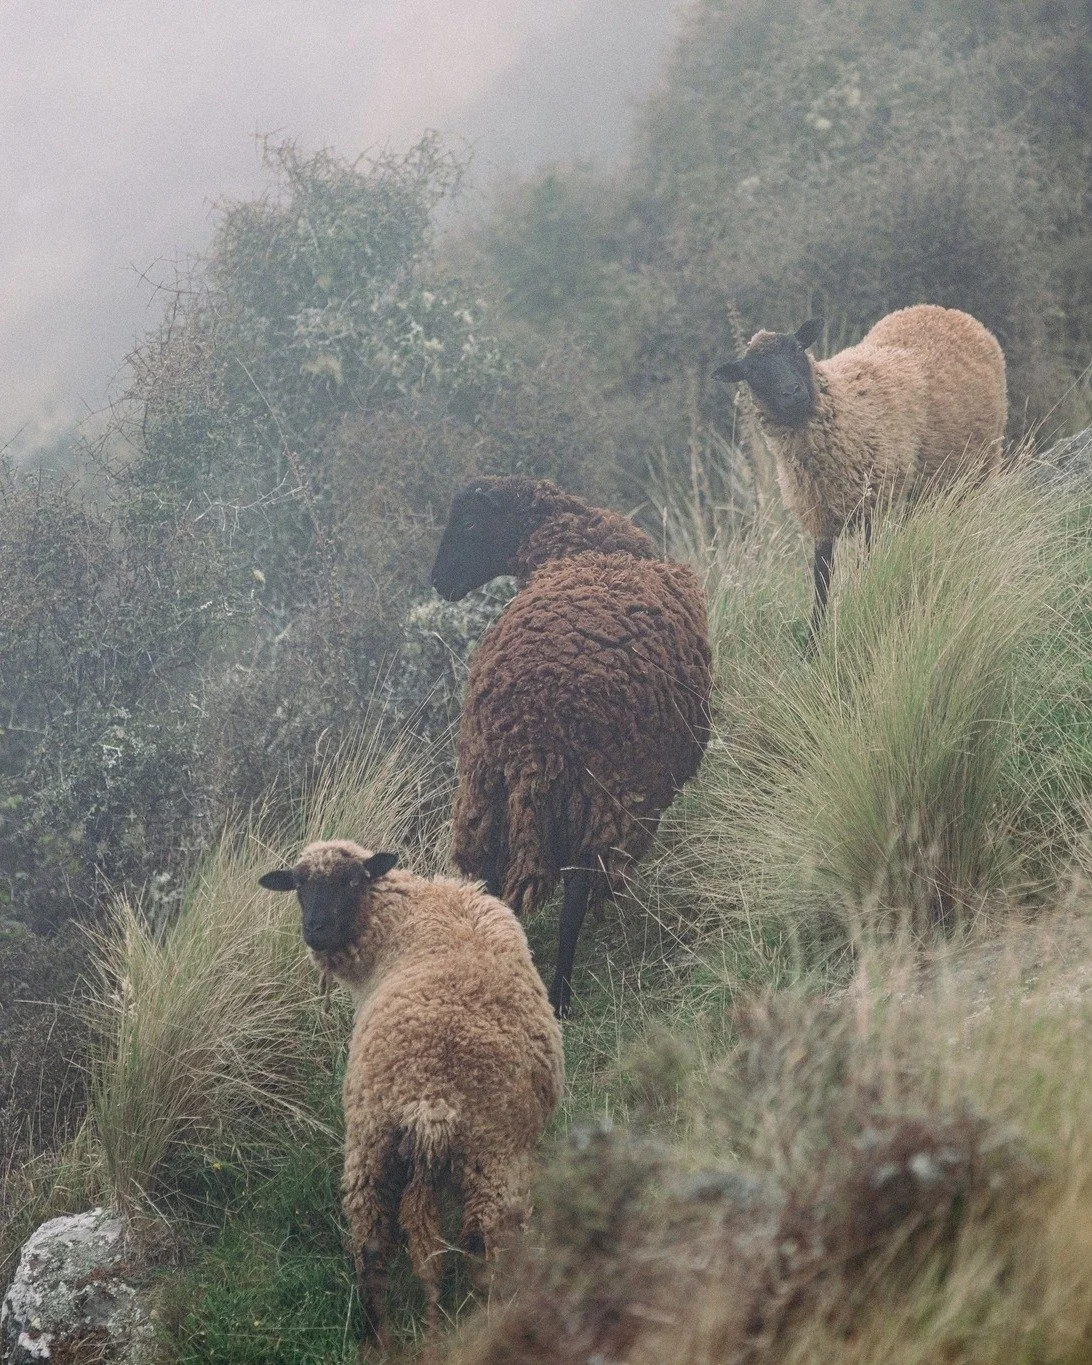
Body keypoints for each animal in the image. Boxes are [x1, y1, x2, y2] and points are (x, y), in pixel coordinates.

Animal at [258, 840, 564, 1344]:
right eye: (299, 885)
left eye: (352, 881)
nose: (315, 931)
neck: (402, 912)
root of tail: (430, 1100)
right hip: (485, 1157)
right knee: (477, 1248)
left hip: (378, 1146)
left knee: (374, 1248)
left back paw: (382, 1337)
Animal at [430, 476, 713, 1018]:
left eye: (470, 523)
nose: (438, 581)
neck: (580, 547)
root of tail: (527, 726)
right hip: (594, 791)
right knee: (574, 897)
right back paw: (561, 994)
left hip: (486, 796)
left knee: (495, 890)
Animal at [713, 304, 1008, 639]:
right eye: (751, 373)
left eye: (798, 349)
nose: (792, 392)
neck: (845, 411)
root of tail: (941, 310)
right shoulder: (822, 516)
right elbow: (822, 581)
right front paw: (814, 639)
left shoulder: (873, 507)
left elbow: (867, 565)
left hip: (978, 467)